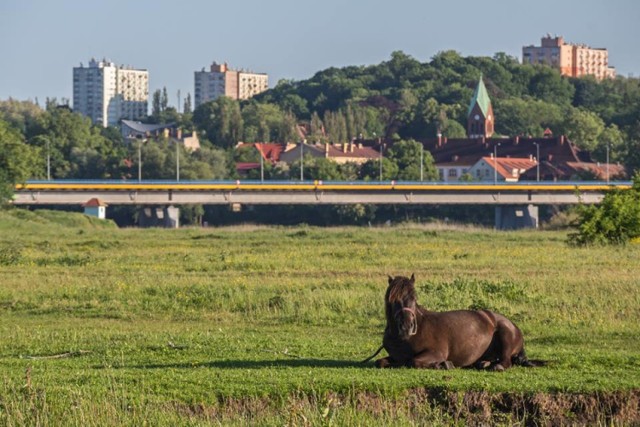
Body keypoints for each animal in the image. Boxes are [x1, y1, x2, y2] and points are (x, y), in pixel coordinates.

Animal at [376, 274, 544, 372]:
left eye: (414, 297)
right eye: (393, 300)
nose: (407, 327)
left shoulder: (436, 353)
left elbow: (414, 361)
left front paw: (443, 364)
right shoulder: (396, 356)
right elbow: (381, 361)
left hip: (505, 335)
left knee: (506, 360)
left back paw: (496, 366)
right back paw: (483, 363)